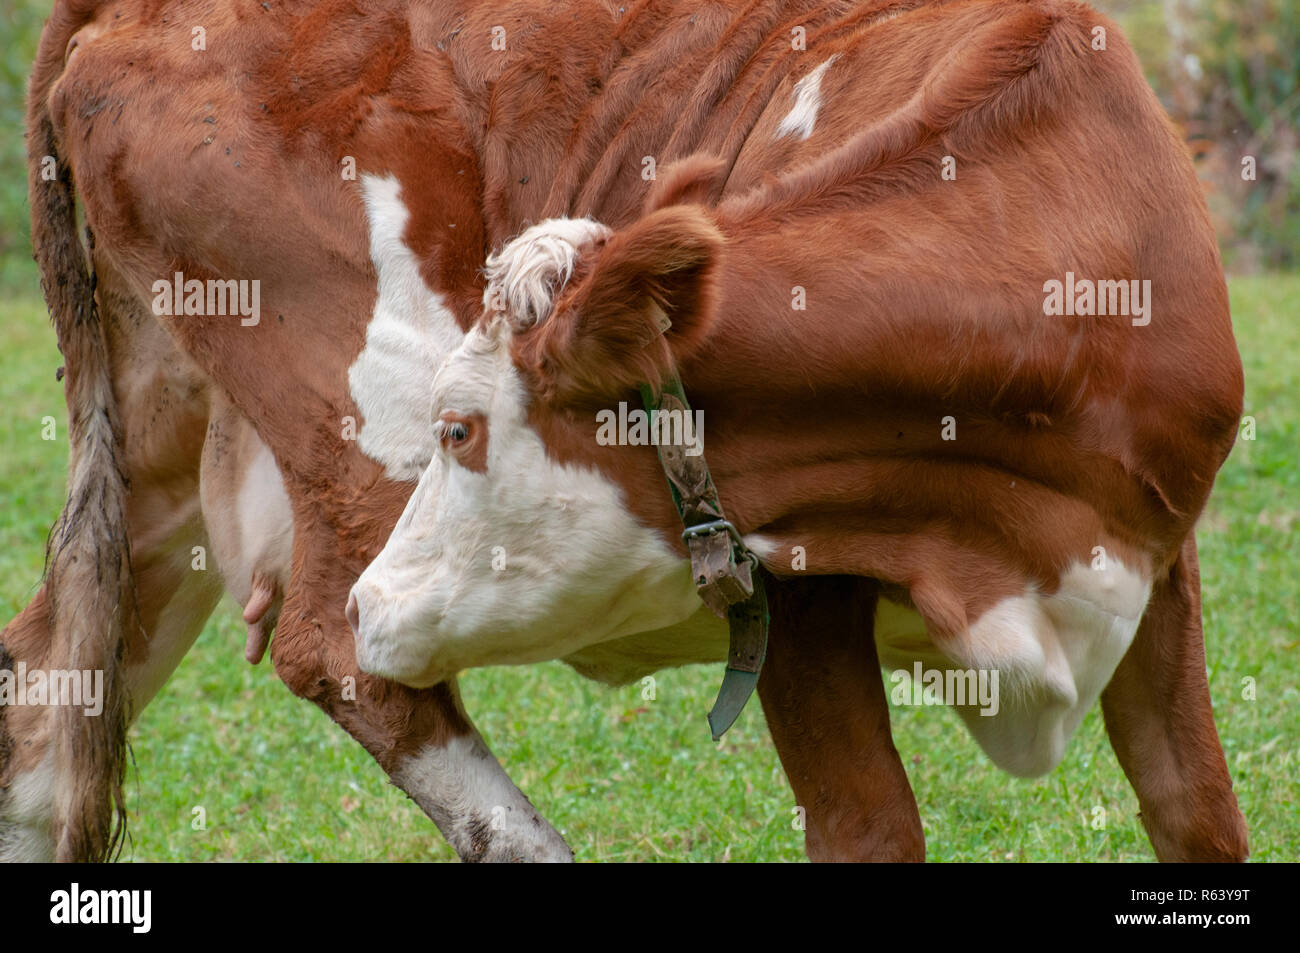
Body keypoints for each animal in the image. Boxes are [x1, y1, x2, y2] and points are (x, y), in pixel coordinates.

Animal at [353, 3, 1248, 858]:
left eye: (457, 430)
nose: (367, 603)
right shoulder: (796, 582)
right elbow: (867, 825)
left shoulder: (1158, 554)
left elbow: (1196, 811)